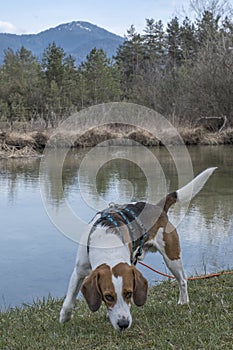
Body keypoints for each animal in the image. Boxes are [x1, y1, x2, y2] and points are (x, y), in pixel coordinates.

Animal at [60, 168, 217, 330]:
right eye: (108, 296)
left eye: (129, 294)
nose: (123, 324)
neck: (108, 245)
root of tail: (158, 207)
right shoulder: (79, 270)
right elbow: (69, 300)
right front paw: (64, 317)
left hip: (172, 258)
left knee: (183, 280)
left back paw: (183, 301)